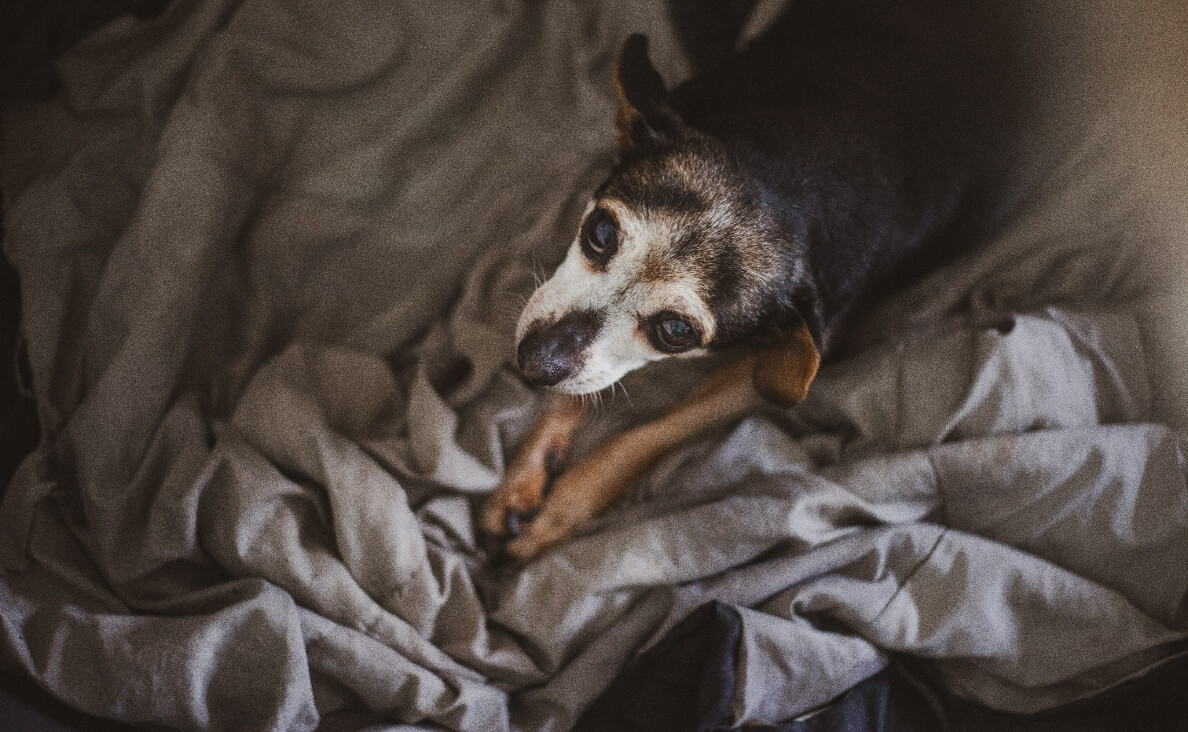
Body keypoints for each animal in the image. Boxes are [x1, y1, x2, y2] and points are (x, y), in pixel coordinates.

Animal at [477, 1, 1026, 560]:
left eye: (676, 332)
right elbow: (578, 386)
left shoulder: (771, 369)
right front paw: (523, 479)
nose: (533, 363)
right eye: (601, 232)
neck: (788, 167)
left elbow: (649, 431)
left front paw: (561, 508)